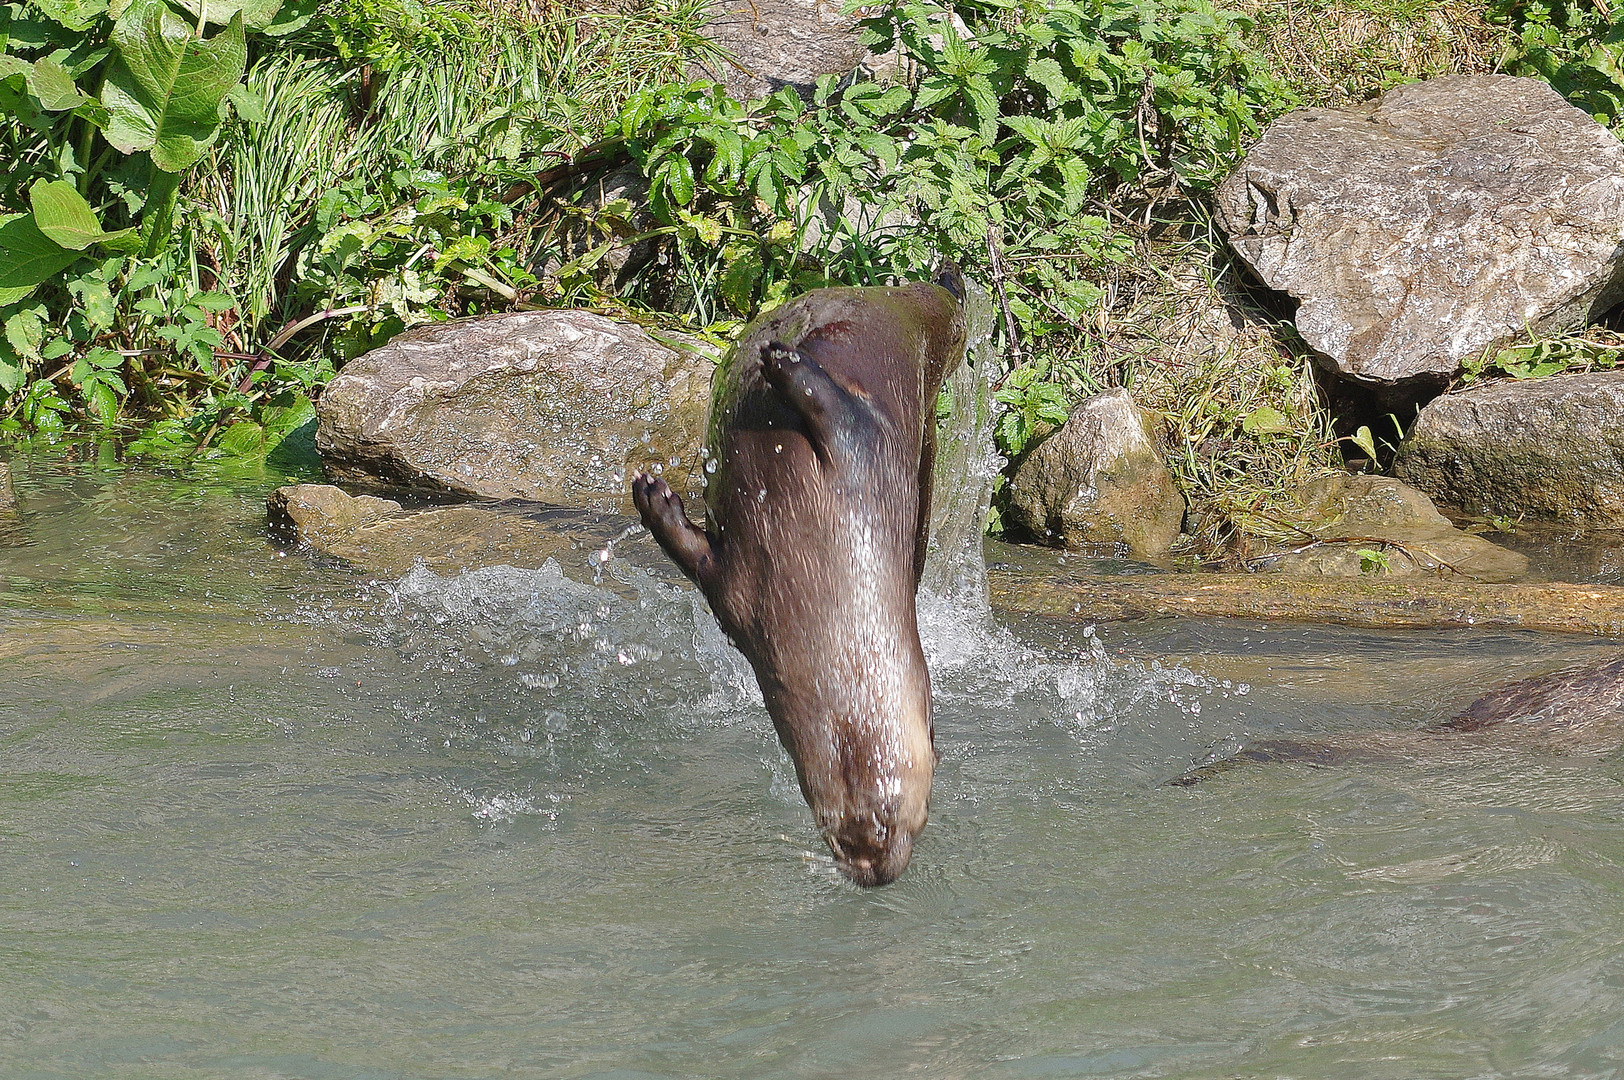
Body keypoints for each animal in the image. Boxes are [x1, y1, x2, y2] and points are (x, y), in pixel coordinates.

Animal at [633, 274, 961, 889]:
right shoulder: (857, 461)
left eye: (913, 820)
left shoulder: (737, 590)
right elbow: (836, 414)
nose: (871, 866)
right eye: (885, 818)